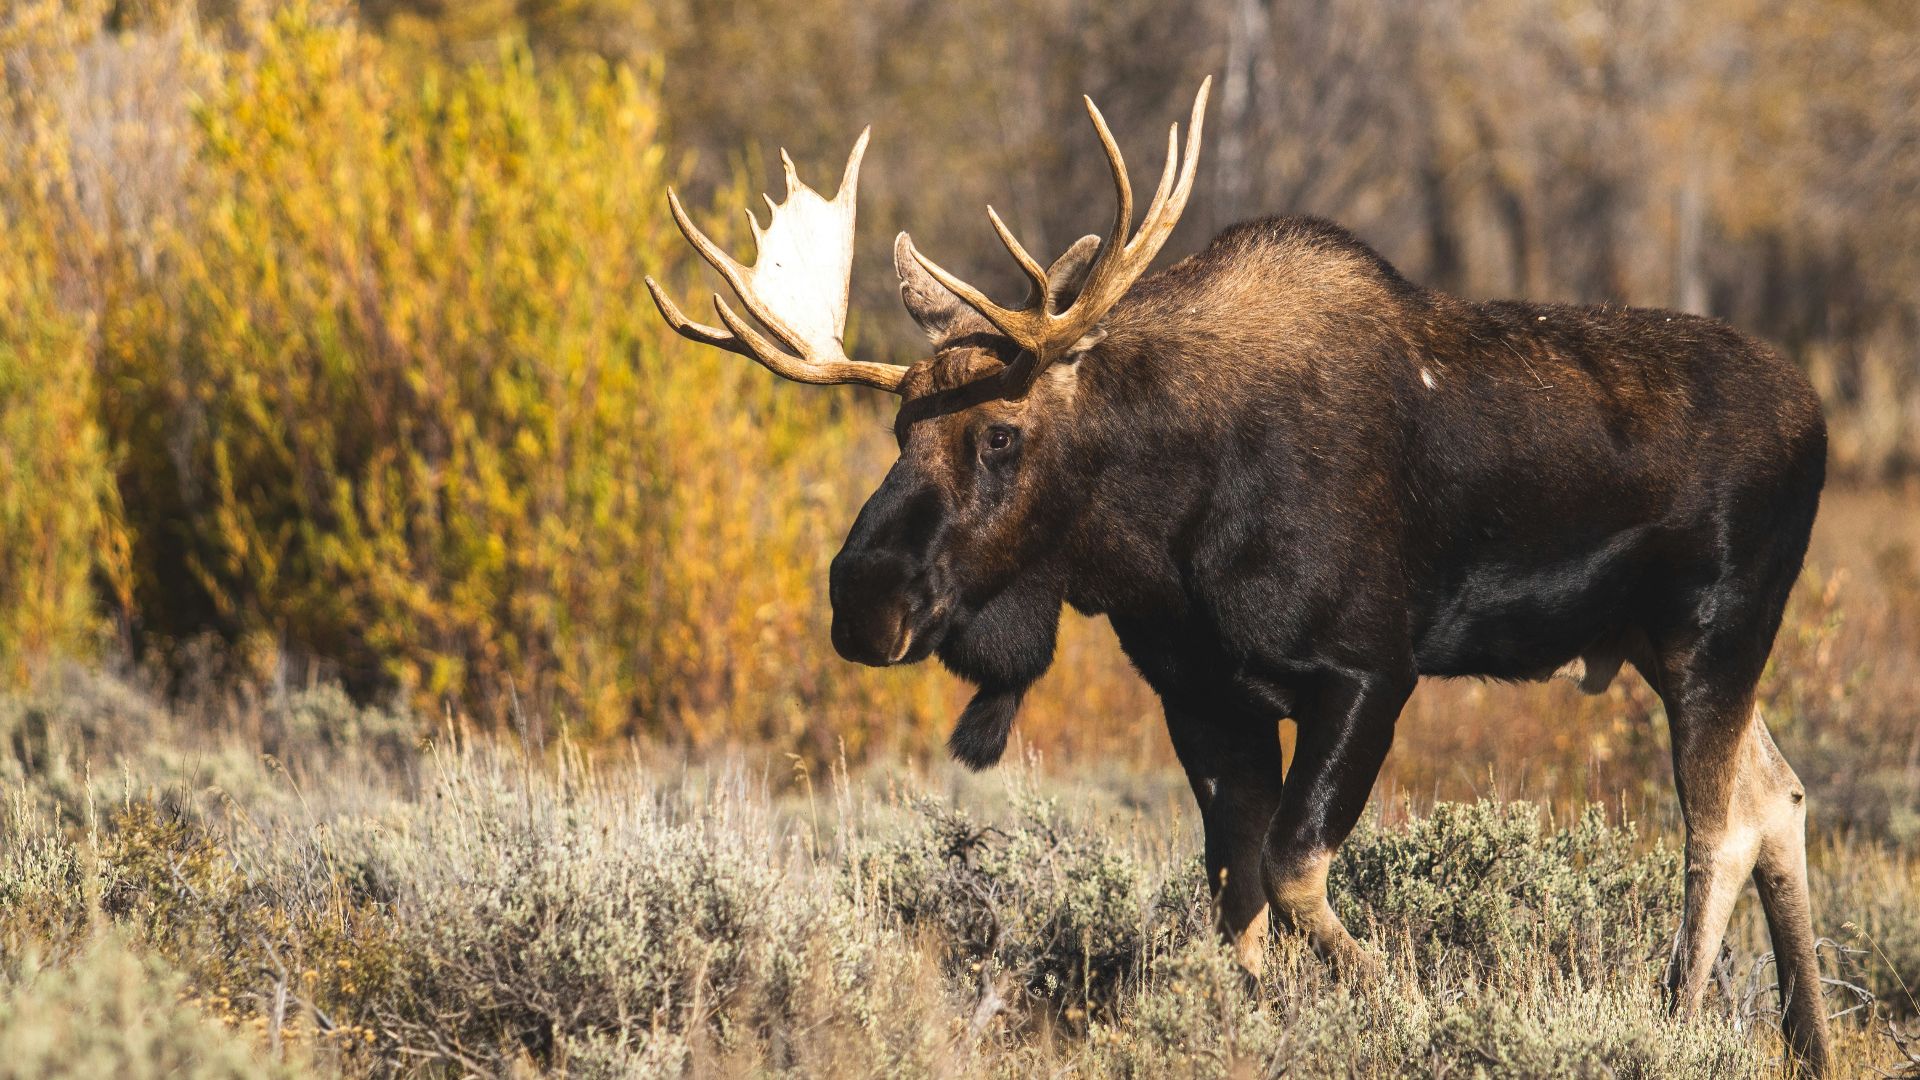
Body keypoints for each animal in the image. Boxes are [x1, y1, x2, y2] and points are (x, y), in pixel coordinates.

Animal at [645, 80, 1832, 1074]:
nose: (862, 597)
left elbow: (1297, 869)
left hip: (1714, 629)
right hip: (1658, 644)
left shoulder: (1368, 670)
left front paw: (1407, 1008)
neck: (1161, 536)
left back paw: (1677, 1021)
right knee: (1778, 793)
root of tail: (1818, 418)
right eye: (900, 428)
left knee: (1717, 823)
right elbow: (1238, 889)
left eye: (1001, 433)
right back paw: (1808, 1042)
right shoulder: (1204, 694)